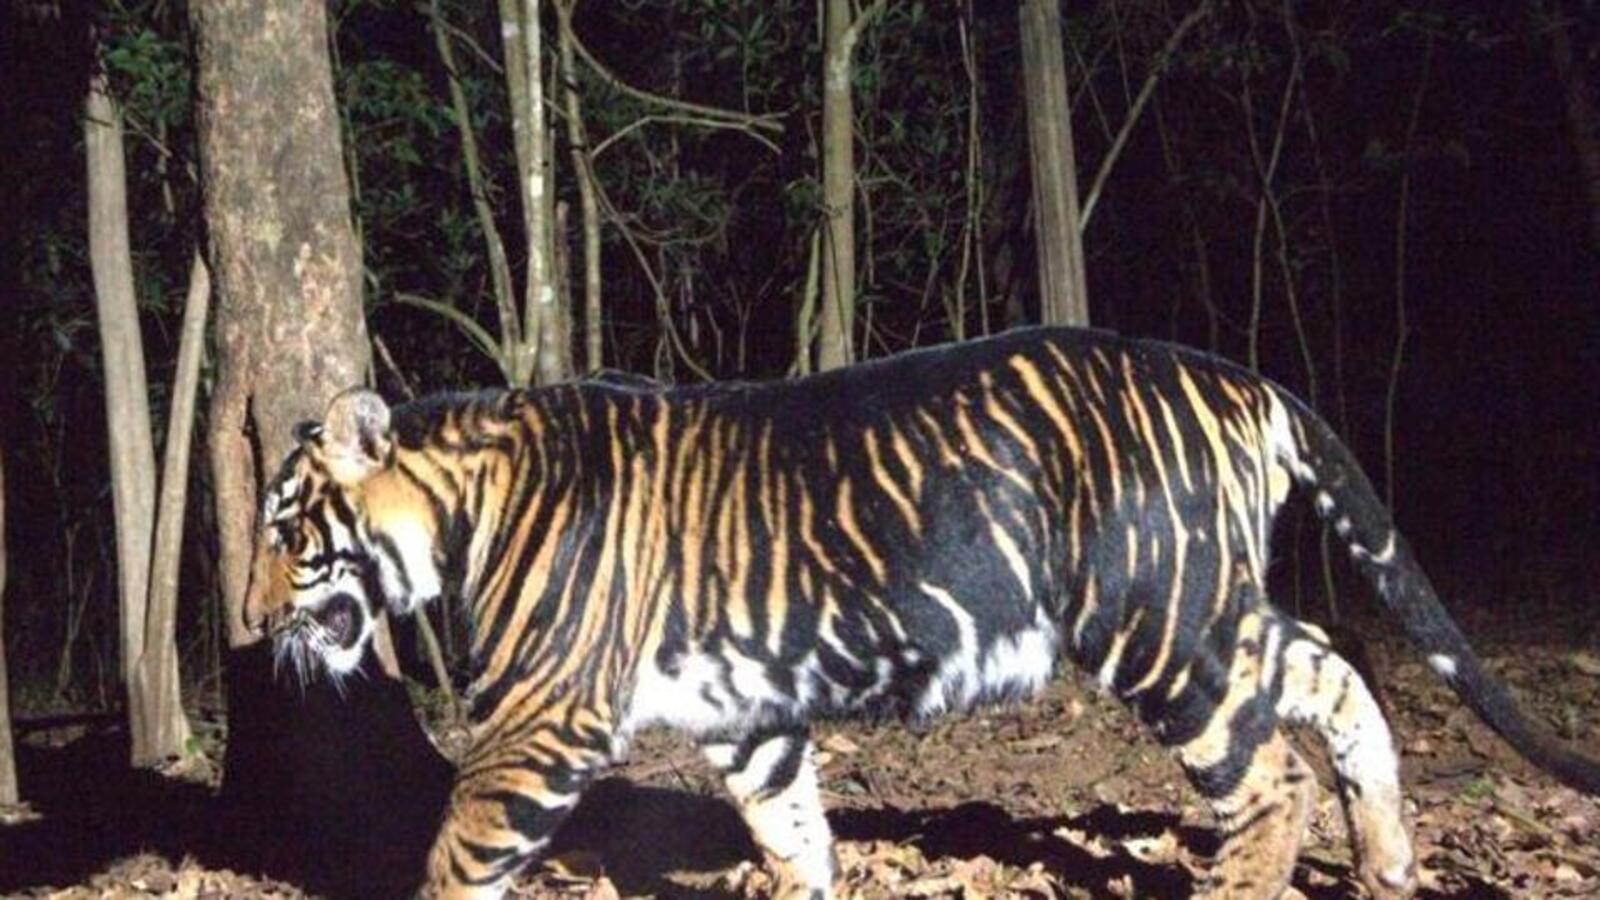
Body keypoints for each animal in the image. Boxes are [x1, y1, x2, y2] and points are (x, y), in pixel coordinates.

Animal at [244, 326, 1600, 900]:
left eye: (285, 532)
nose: (251, 624)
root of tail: (1240, 376)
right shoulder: (746, 717)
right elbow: (791, 830)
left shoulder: (539, 723)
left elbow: (456, 858)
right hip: (1212, 610)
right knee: (1337, 683)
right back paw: (1387, 862)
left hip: (1159, 628)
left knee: (1269, 782)